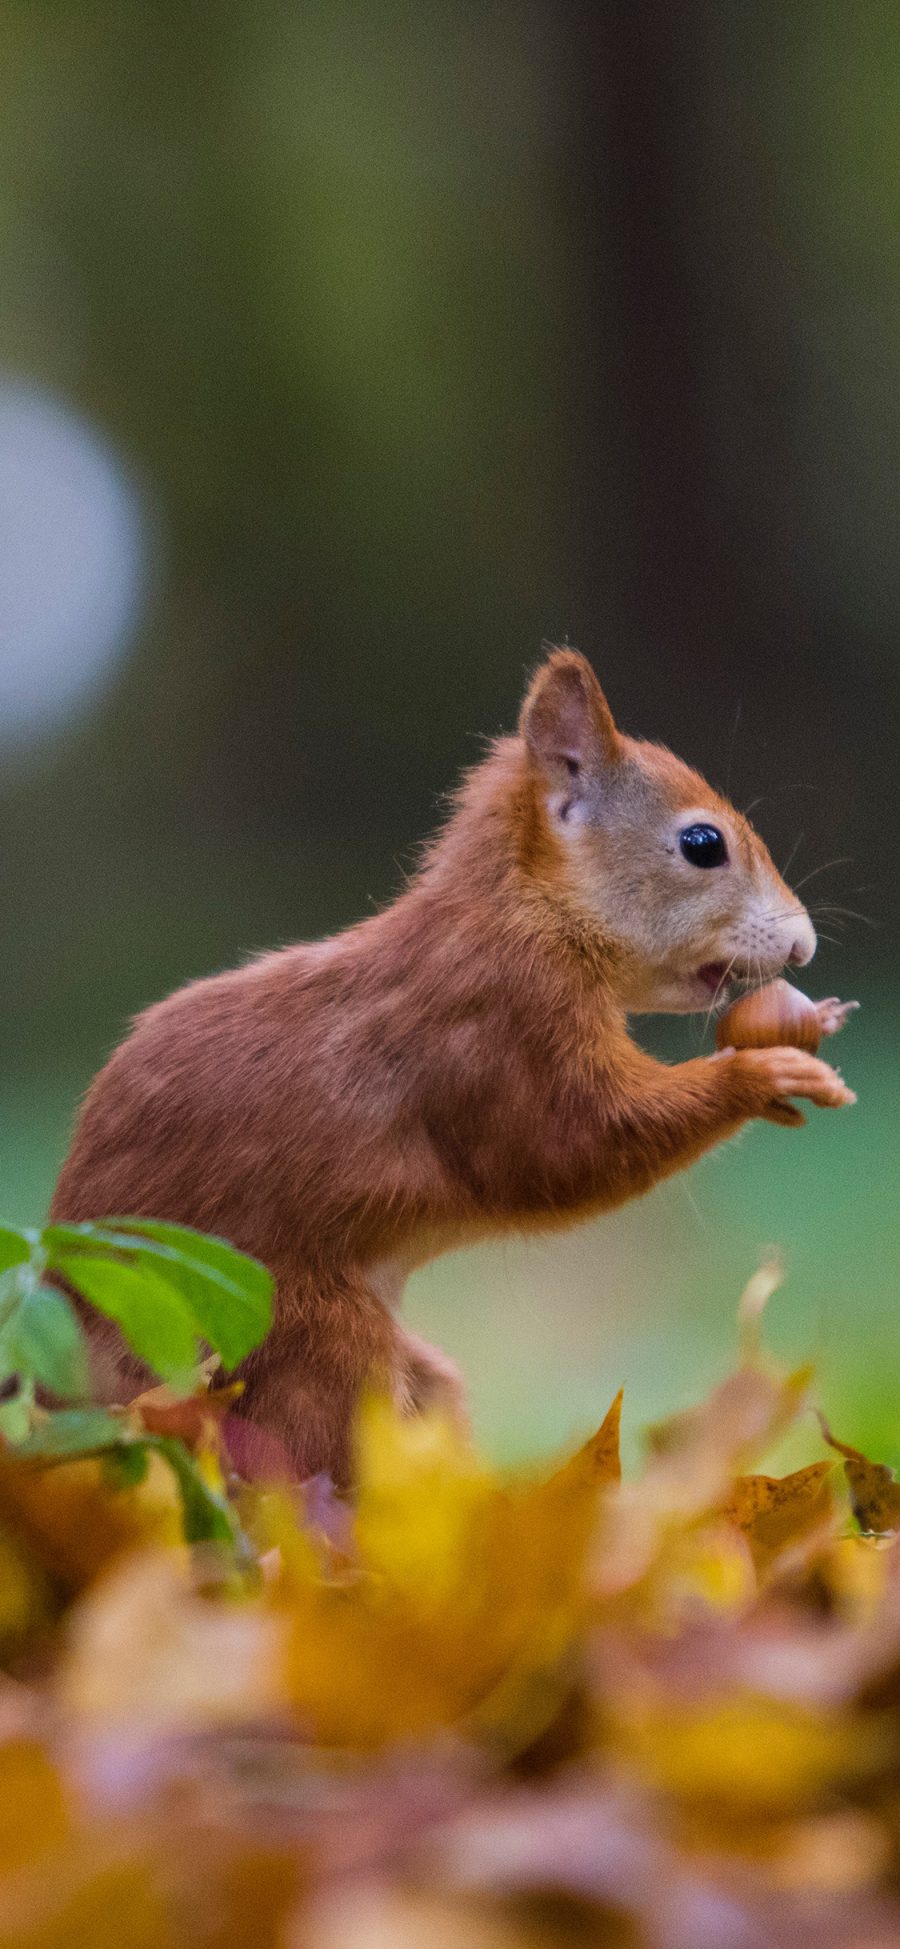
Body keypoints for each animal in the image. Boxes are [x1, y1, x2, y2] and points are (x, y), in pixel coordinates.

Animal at [52, 650, 853, 1473]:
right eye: (702, 844)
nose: (804, 944)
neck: (528, 912)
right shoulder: (501, 1025)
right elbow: (570, 1148)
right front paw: (762, 1074)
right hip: (288, 1330)